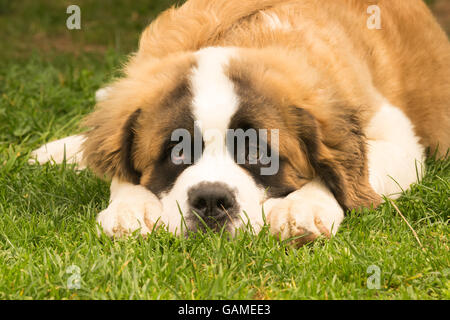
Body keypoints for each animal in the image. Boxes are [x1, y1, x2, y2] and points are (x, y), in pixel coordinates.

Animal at [29, 0, 448, 245]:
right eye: (175, 153)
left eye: (260, 154)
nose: (211, 200)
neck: (249, 41)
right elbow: (120, 171)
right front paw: (130, 210)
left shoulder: (399, 138)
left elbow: (342, 174)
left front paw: (302, 208)